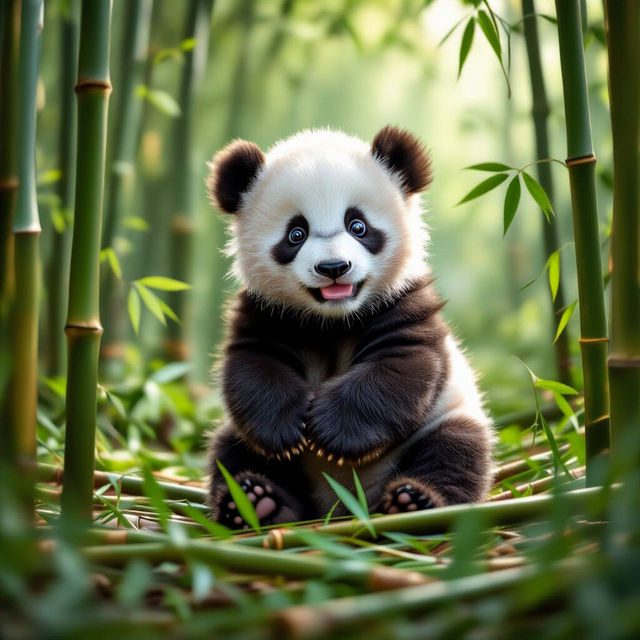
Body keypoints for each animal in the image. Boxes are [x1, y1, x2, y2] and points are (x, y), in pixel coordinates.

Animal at [206, 125, 493, 529]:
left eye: (357, 226)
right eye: (296, 234)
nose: (333, 268)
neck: (334, 318)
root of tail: (342, 507)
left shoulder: (402, 304)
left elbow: (401, 369)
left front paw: (330, 432)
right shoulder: (267, 312)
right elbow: (253, 368)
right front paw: (290, 427)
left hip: (448, 417)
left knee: (455, 452)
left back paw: (413, 504)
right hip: (241, 439)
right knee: (233, 455)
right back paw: (257, 504)